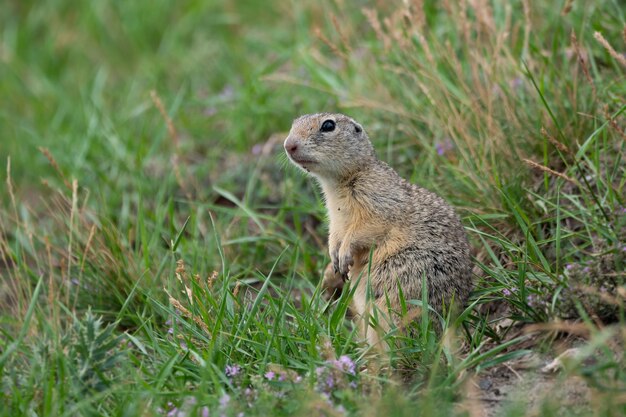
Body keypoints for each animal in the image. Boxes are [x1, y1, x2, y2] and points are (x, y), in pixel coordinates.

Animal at [282, 111, 468, 344]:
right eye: (294, 123)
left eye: (328, 125)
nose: (288, 145)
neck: (341, 181)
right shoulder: (335, 219)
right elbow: (334, 234)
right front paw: (334, 257)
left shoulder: (377, 202)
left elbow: (365, 229)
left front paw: (344, 255)